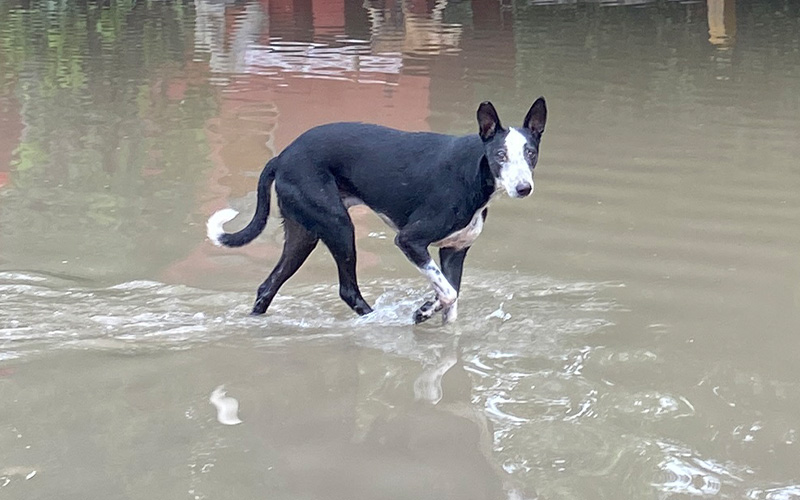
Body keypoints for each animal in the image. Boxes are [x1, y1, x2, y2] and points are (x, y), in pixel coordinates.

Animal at [205, 97, 544, 324]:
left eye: (530, 153)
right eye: (500, 155)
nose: (523, 188)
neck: (474, 171)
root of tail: (282, 156)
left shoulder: (454, 251)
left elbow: (451, 297)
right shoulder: (410, 240)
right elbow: (448, 293)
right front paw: (422, 311)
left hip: (304, 235)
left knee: (268, 286)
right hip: (339, 227)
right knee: (348, 290)